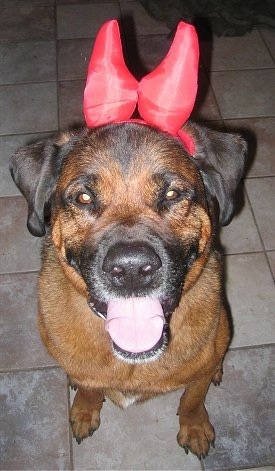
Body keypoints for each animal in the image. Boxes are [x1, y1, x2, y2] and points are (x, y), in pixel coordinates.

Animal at [10, 119, 248, 460]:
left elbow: (192, 398)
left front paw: (194, 427)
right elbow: (89, 385)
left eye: (172, 193)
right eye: (84, 198)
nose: (132, 270)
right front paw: (85, 408)